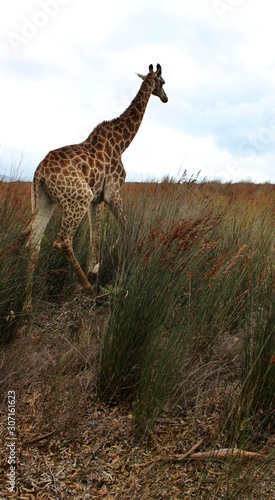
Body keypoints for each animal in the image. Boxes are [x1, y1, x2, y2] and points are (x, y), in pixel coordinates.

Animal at [23, 63, 169, 312]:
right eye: (164, 82)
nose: (166, 98)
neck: (122, 142)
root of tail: (39, 171)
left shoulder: (96, 199)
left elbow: (95, 238)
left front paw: (94, 269)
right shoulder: (112, 192)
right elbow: (124, 228)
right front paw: (97, 272)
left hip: (43, 199)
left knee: (33, 244)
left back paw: (26, 306)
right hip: (77, 198)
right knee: (61, 240)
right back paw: (88, 287)